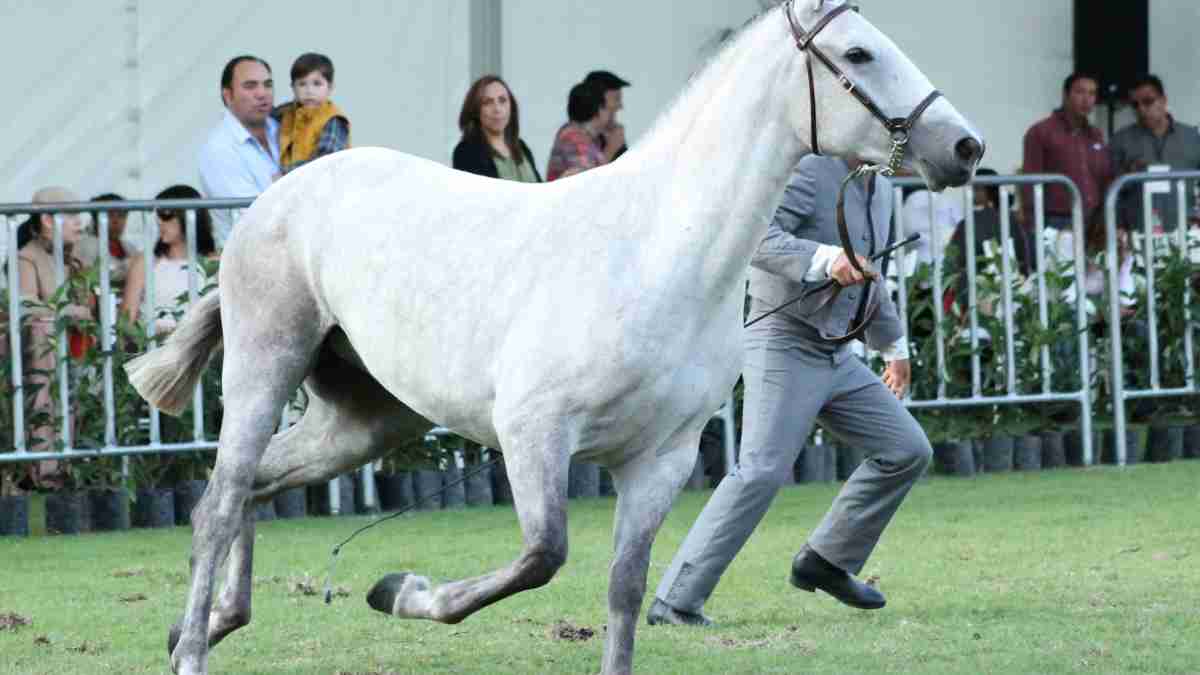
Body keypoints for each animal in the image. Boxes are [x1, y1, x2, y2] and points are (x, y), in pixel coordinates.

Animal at [126, 2, 979, 667]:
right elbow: (543, 555)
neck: (654, 251)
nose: (965, 147)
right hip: (264, 367)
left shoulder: (661, 460)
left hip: (367, 419)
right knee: (222, 498)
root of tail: (275, 199)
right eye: (859, 53)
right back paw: (193, 647)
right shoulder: (533, 431)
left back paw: (207, 622)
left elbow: (625, 591)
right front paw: (401, 589)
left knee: (255, 487)